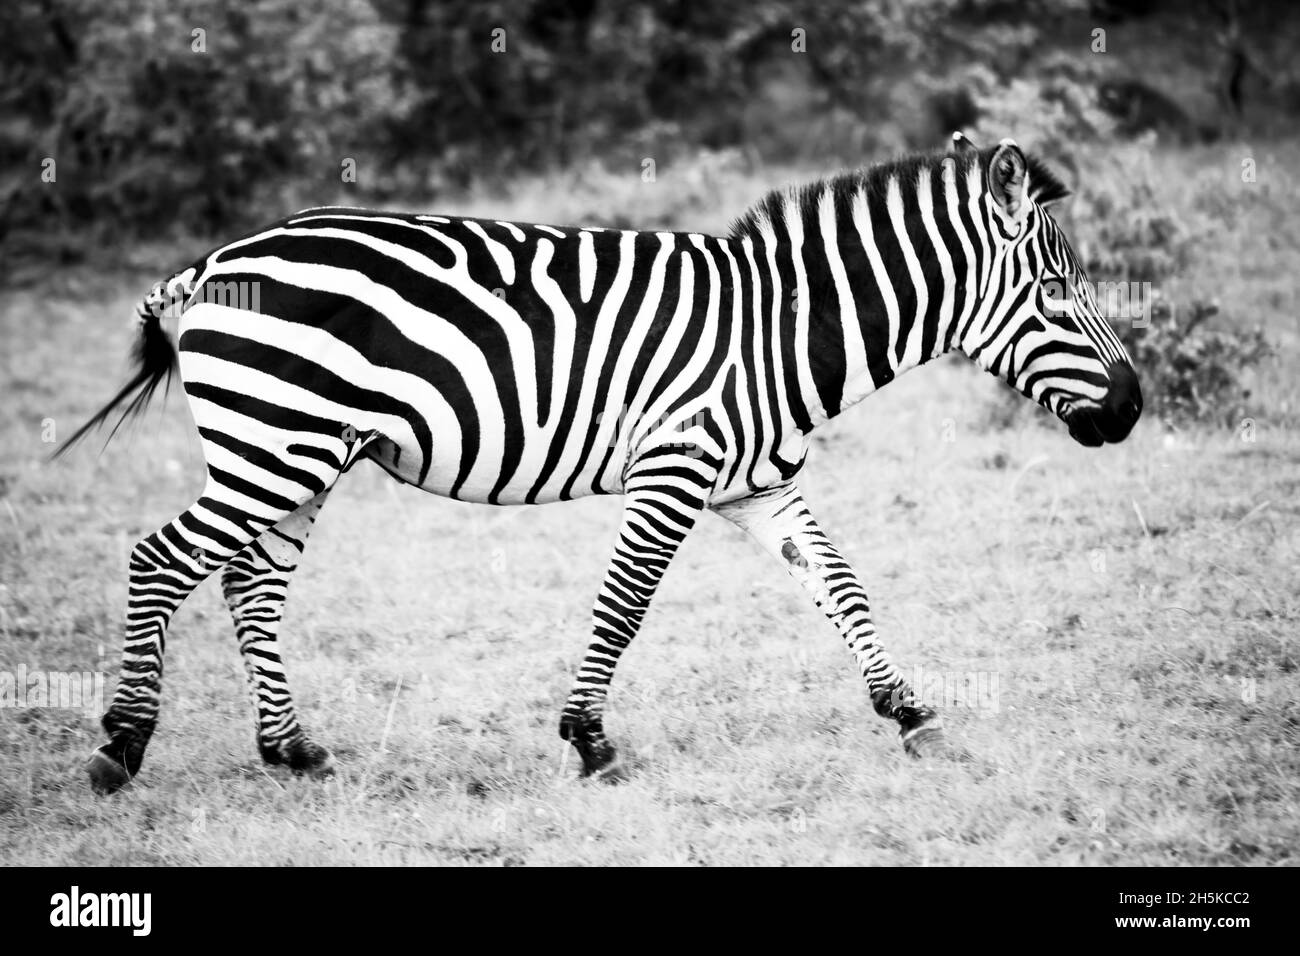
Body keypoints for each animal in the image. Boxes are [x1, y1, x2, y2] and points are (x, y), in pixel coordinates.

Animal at [61, 134, 1138, 790]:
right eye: (1056, 290)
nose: (1131, 409)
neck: (780, 333)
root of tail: (212, 262)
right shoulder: (675, 467)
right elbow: (624, 606)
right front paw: (591, 742)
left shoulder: (762, 486)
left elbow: (843, 588)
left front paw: (911, 713)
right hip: (278, 443)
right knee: (161, 559)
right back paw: (122, 745)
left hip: (299, 452)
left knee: (251, 582)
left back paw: (292, 749)